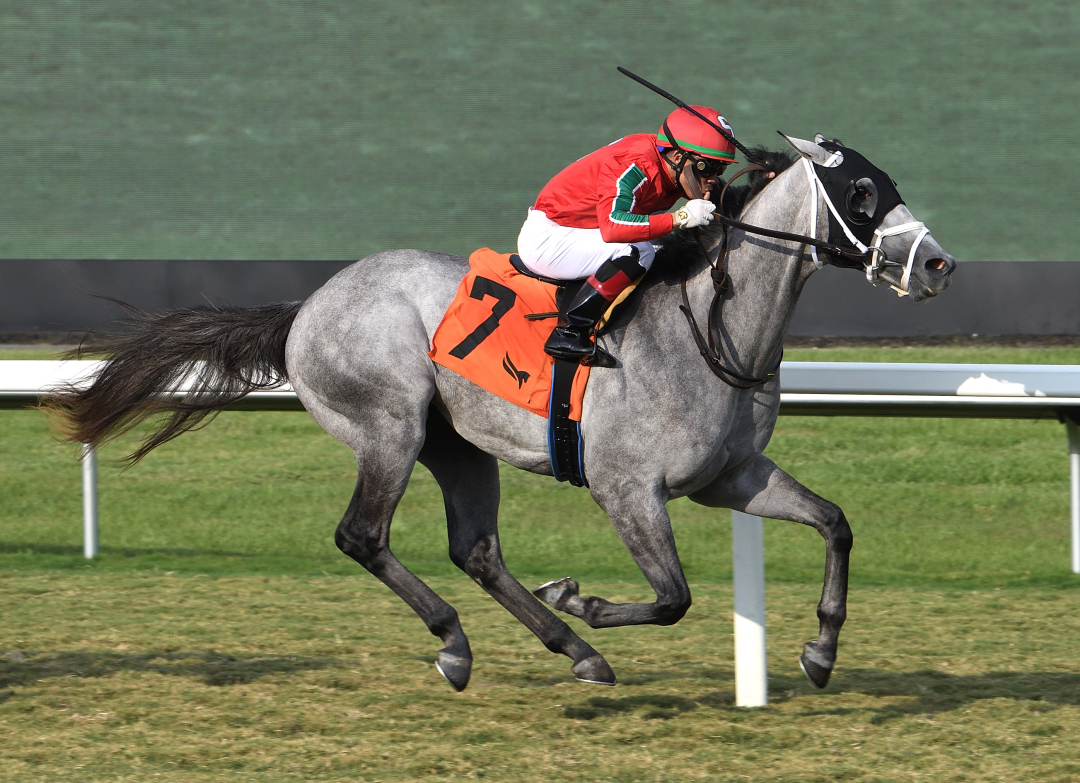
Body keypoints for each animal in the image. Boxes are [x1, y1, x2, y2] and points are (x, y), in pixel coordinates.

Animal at [54, 132, 959, 691]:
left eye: (890, 185)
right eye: (862, 191)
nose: (939, 264)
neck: (710, 326)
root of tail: (305, 308)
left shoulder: (731, 476)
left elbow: (835, 522)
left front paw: (819, 649)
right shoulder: (627, 486)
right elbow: (672, 596)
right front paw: (583, 598)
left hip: (459, 446)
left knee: (477, 549)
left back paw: (573, 652)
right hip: (390, 425)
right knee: (364, 535)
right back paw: (462, 641)